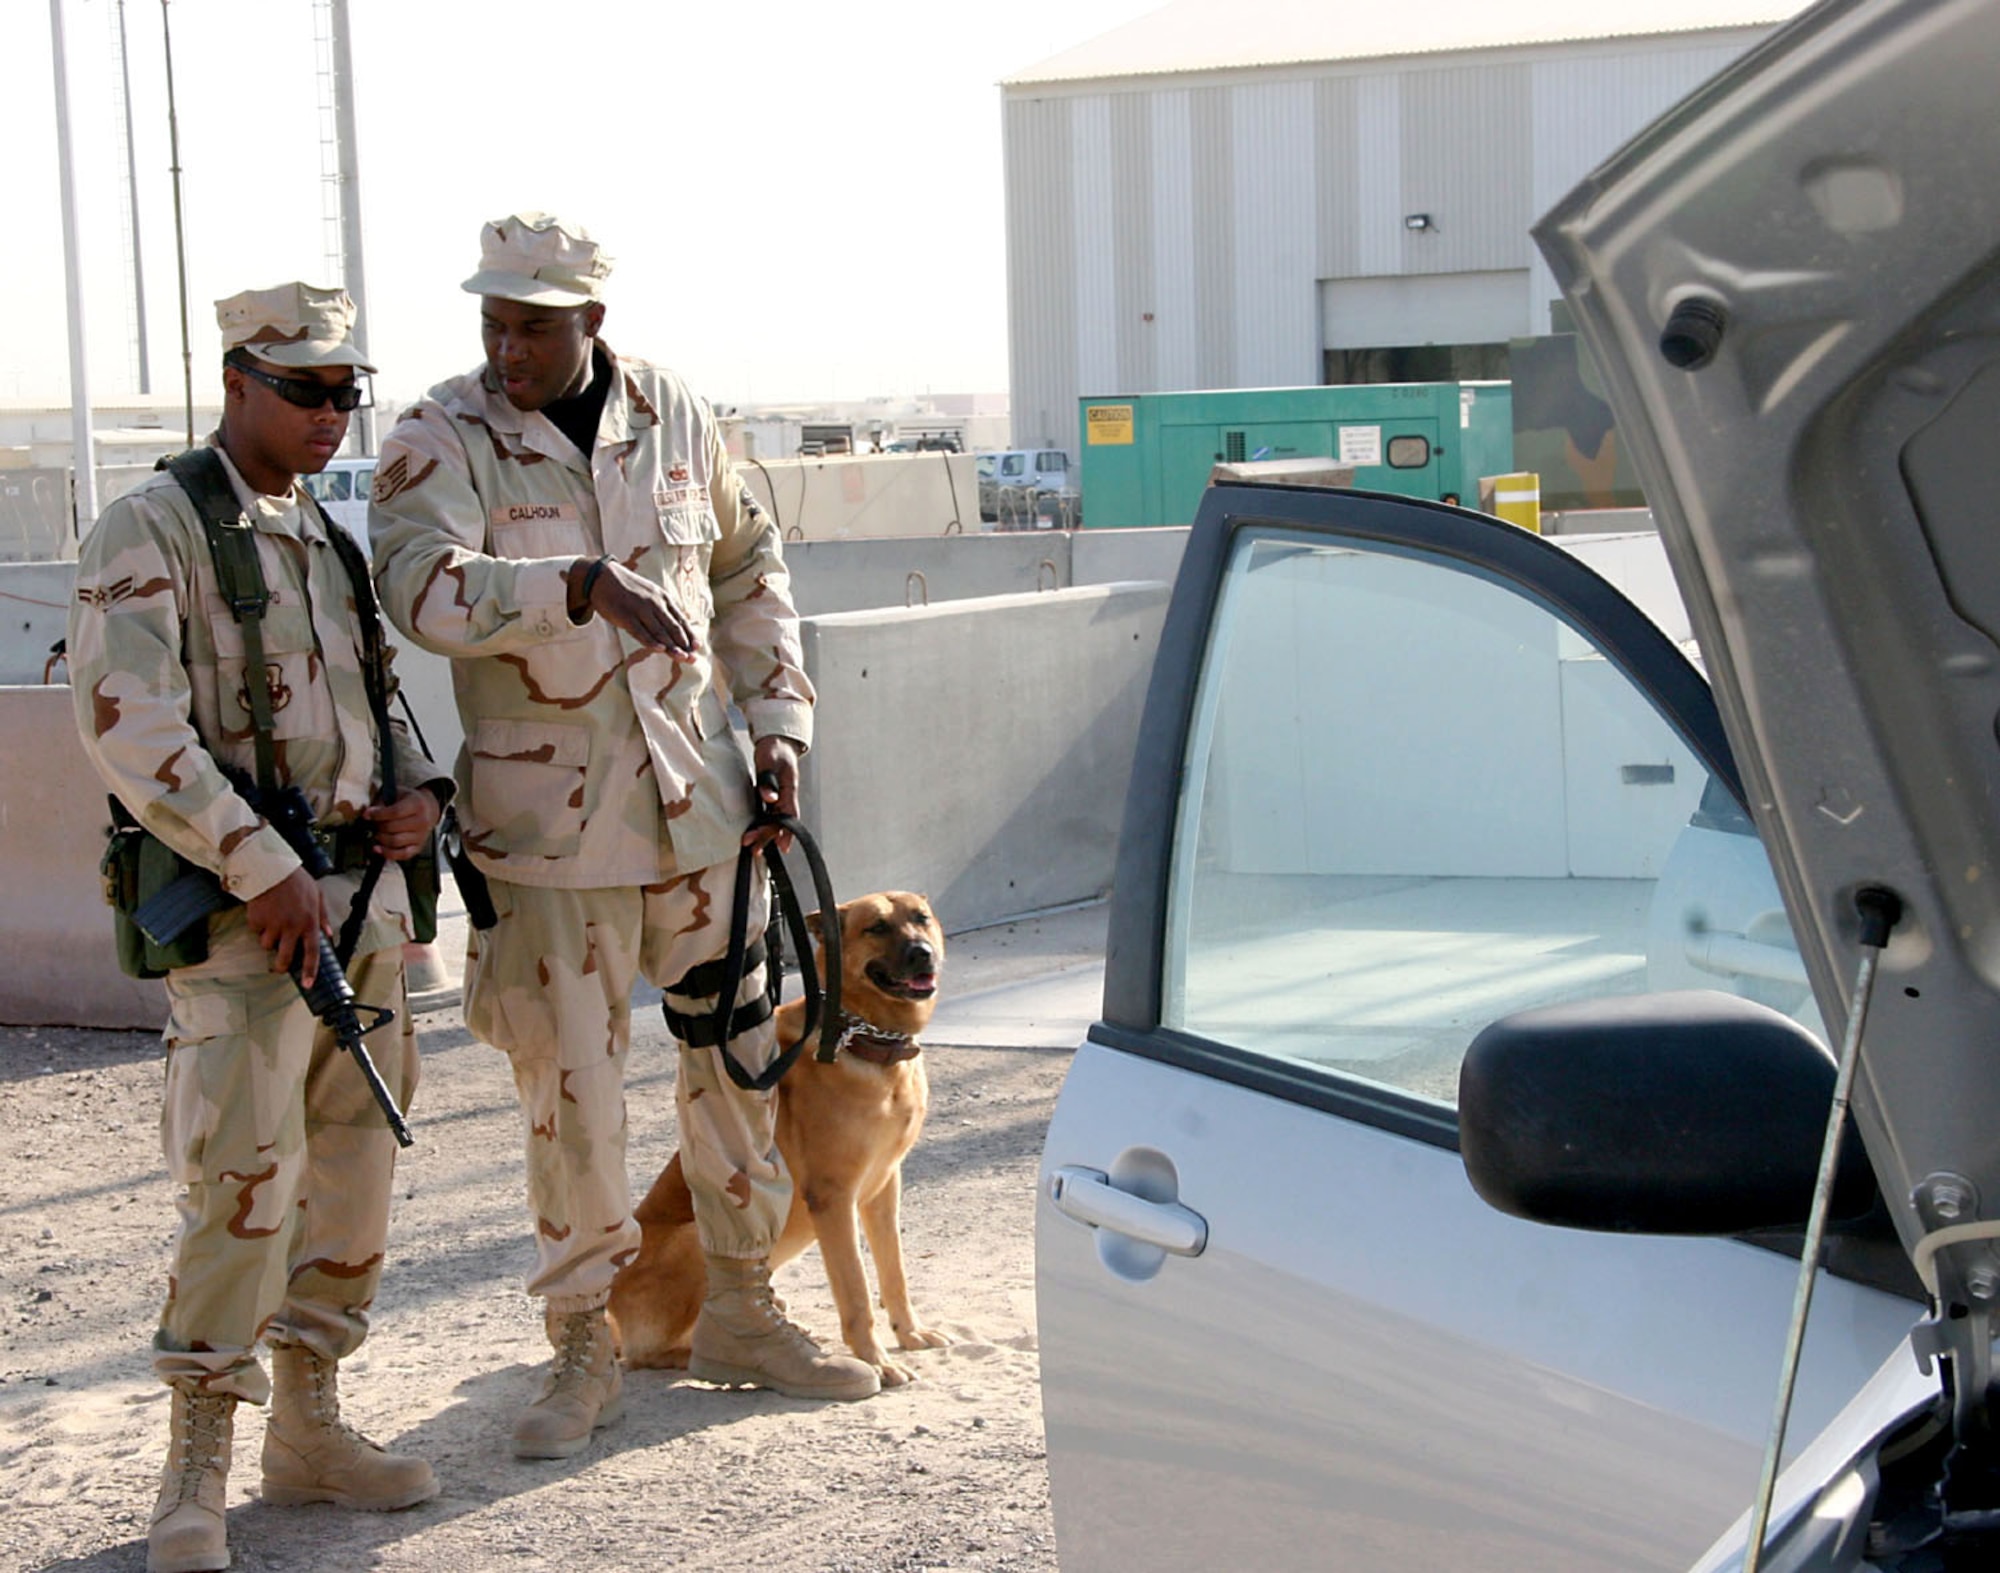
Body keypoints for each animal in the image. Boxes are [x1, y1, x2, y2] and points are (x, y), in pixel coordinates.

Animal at [609, 891, 949, 1387]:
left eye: (921, 919)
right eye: (876, 928)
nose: (922, 953)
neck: (860, 1035)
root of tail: (611, 1306)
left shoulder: (884, 1189)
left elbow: (894, 1274)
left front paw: (909, 1332)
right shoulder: (833, 1200)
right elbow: (856, 1291)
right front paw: (876, 1360)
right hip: (694, 1240)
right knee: (647, 1354)